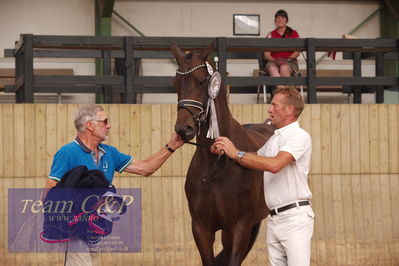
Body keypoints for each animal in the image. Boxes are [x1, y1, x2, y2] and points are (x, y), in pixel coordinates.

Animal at [170, 42, 276, 266]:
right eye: (176, 82)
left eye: (201, 81)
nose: (184, 129)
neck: (216, 162)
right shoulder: (201, 228)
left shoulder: (241, 226)